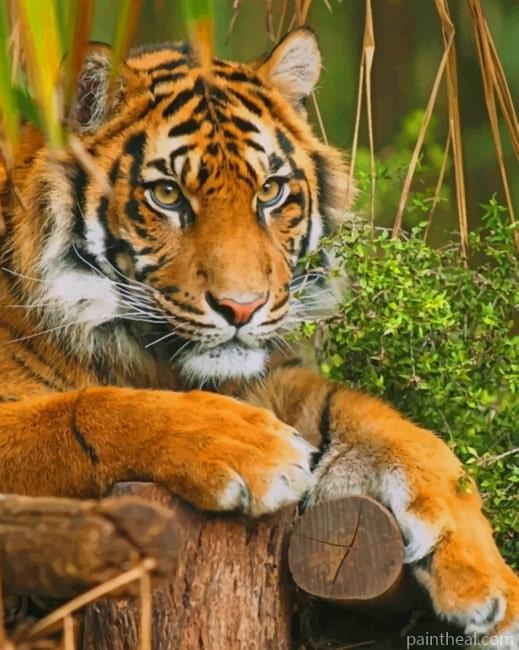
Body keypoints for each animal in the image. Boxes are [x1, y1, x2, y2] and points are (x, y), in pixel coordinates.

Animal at [0, 27, 517, 641]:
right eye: (167, 195)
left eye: (270, 191)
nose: (242, 308)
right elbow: (87, 411)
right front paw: (253, 449)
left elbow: (395, 429)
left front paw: (494, 585)